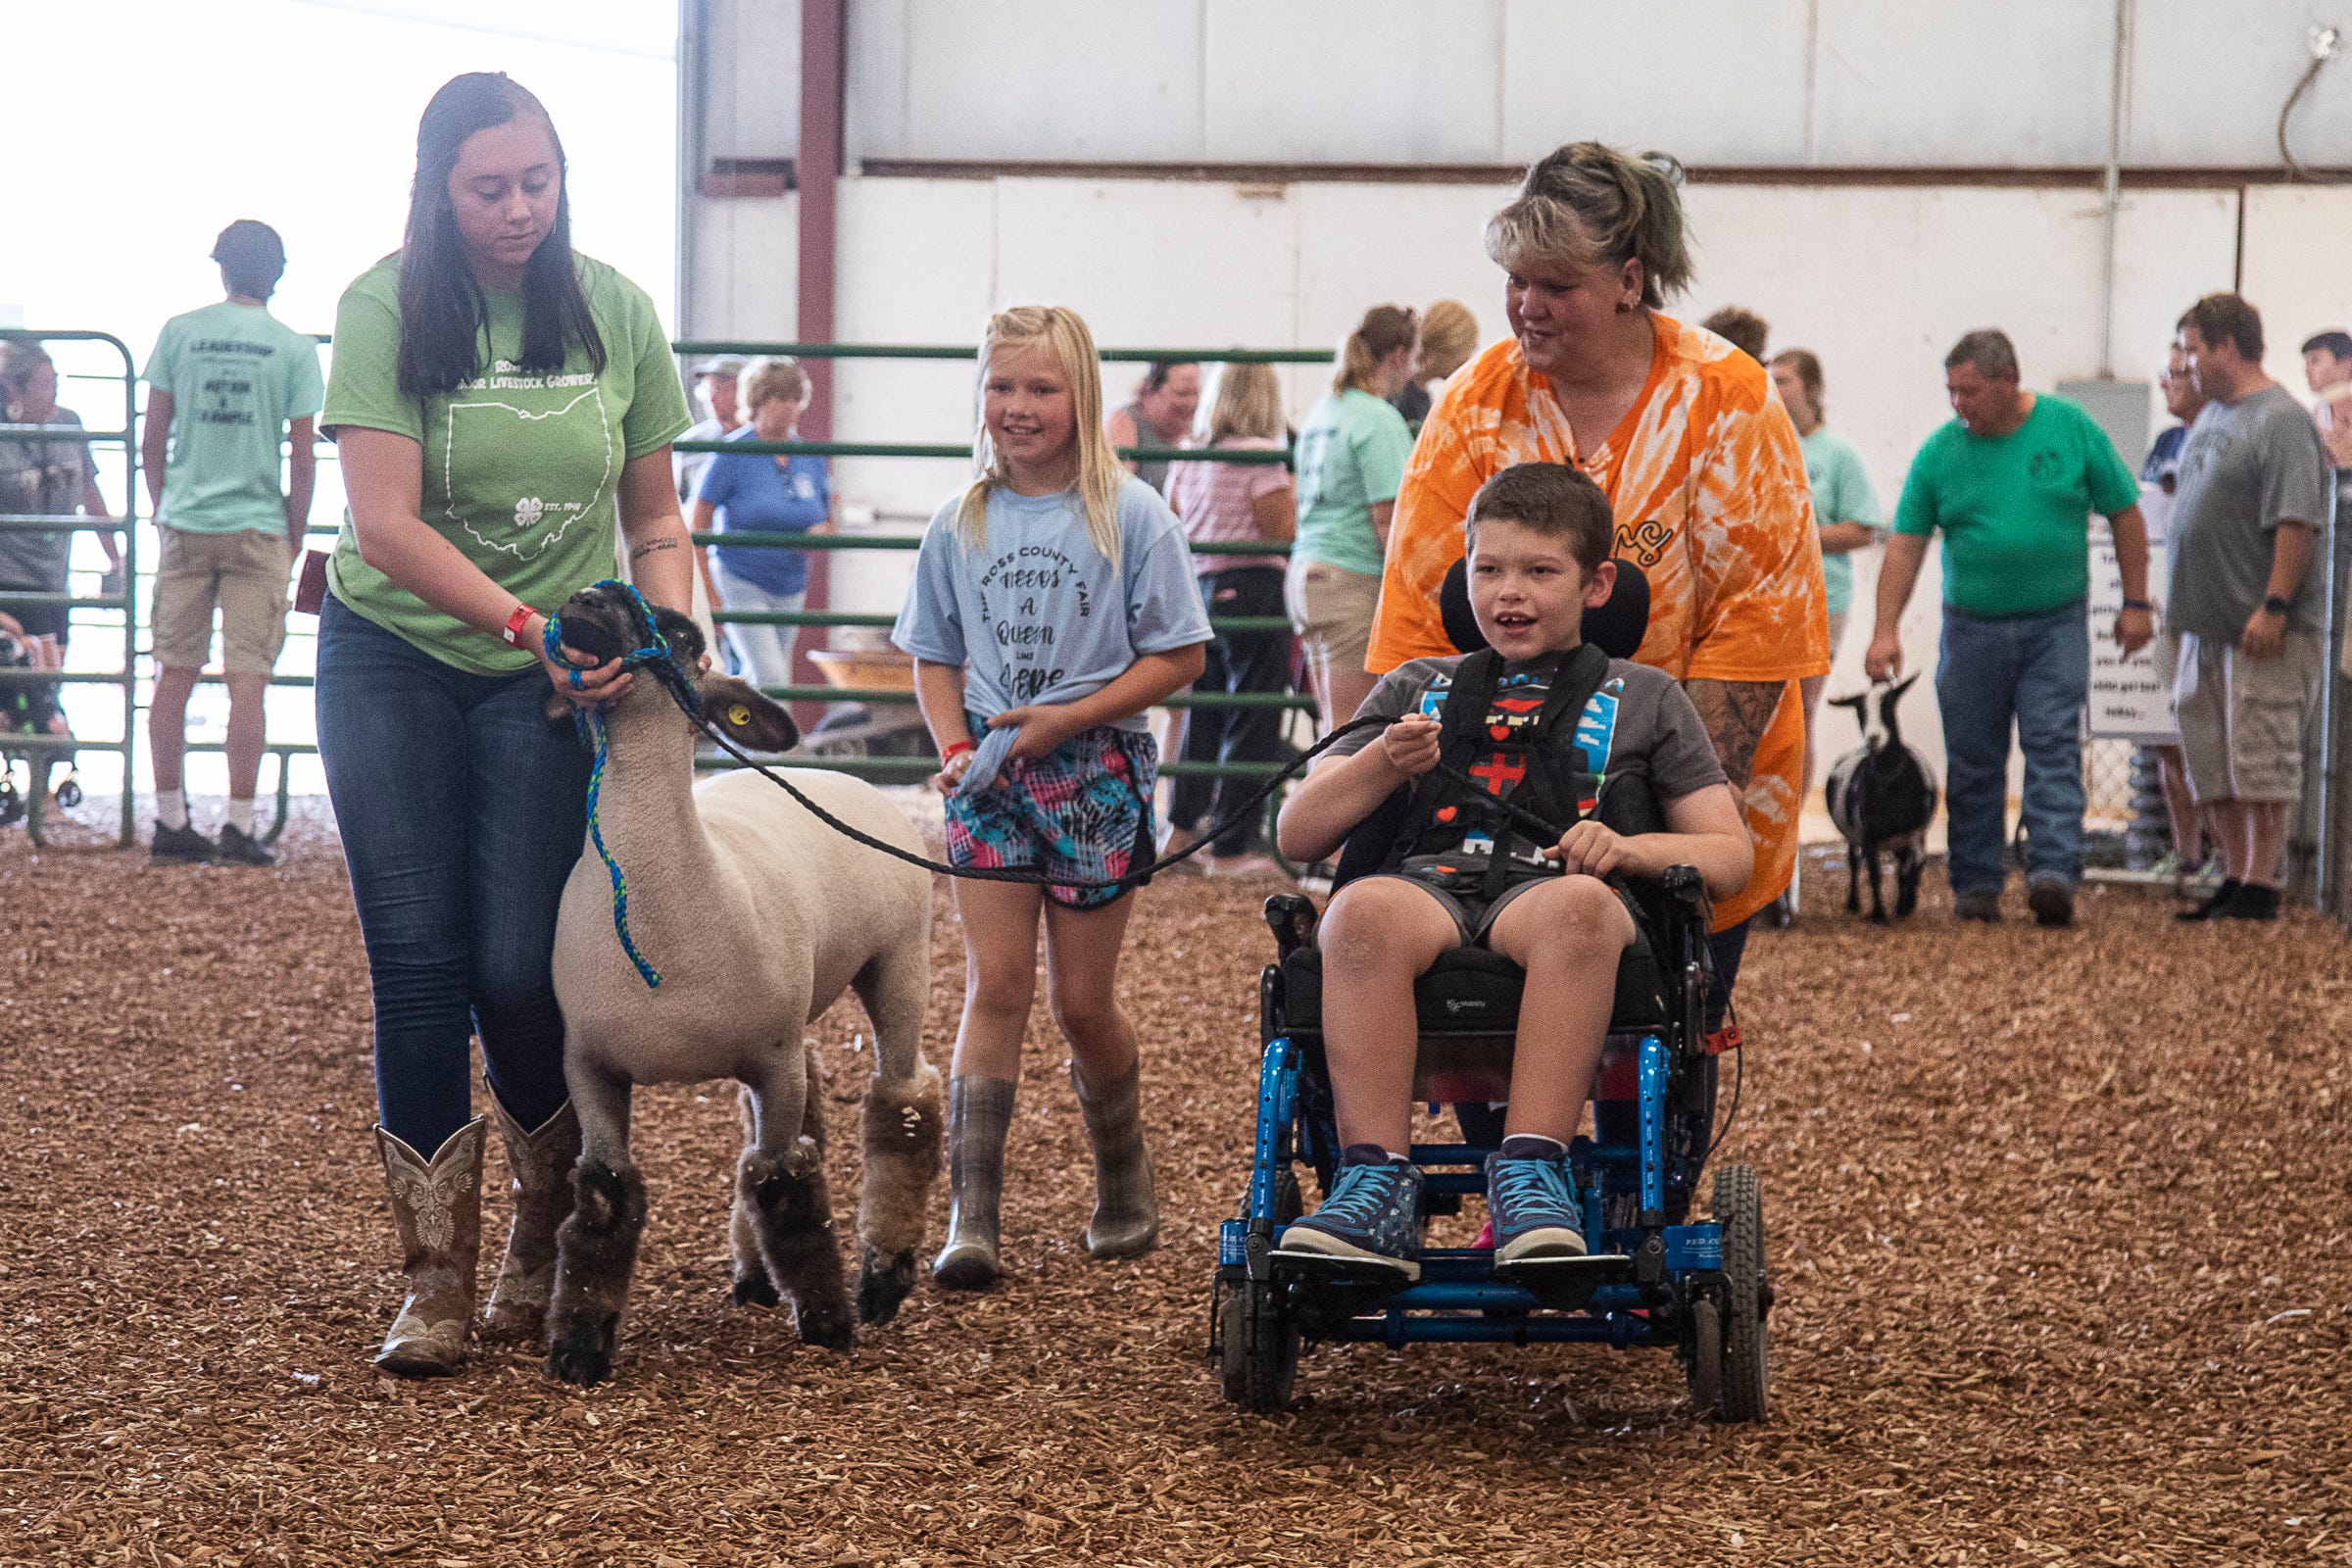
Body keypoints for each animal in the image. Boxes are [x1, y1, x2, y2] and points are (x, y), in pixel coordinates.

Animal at [538, 585, 941, 1382]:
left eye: (684, 631)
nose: (587, 599)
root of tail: (837, 776)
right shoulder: (590, 1065)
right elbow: (606, 1197)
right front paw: (579, 1343)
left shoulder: (772, 1058)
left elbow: (787, 1186)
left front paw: (826, 1320)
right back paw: (756, 1275)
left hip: (899, 960)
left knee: (902, 1104)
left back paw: (883, 1278)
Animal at [1825, 672, 1937, 921]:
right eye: (1859, 710)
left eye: (1888, 704)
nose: (1873, 737)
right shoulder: (1867, 834)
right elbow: (1875, 873)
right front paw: (1879, 914)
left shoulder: (1910, 834)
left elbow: (1904, 872)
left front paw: (1901, 908)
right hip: (1853, 835)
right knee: (1854, 862)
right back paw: (1854, 902)